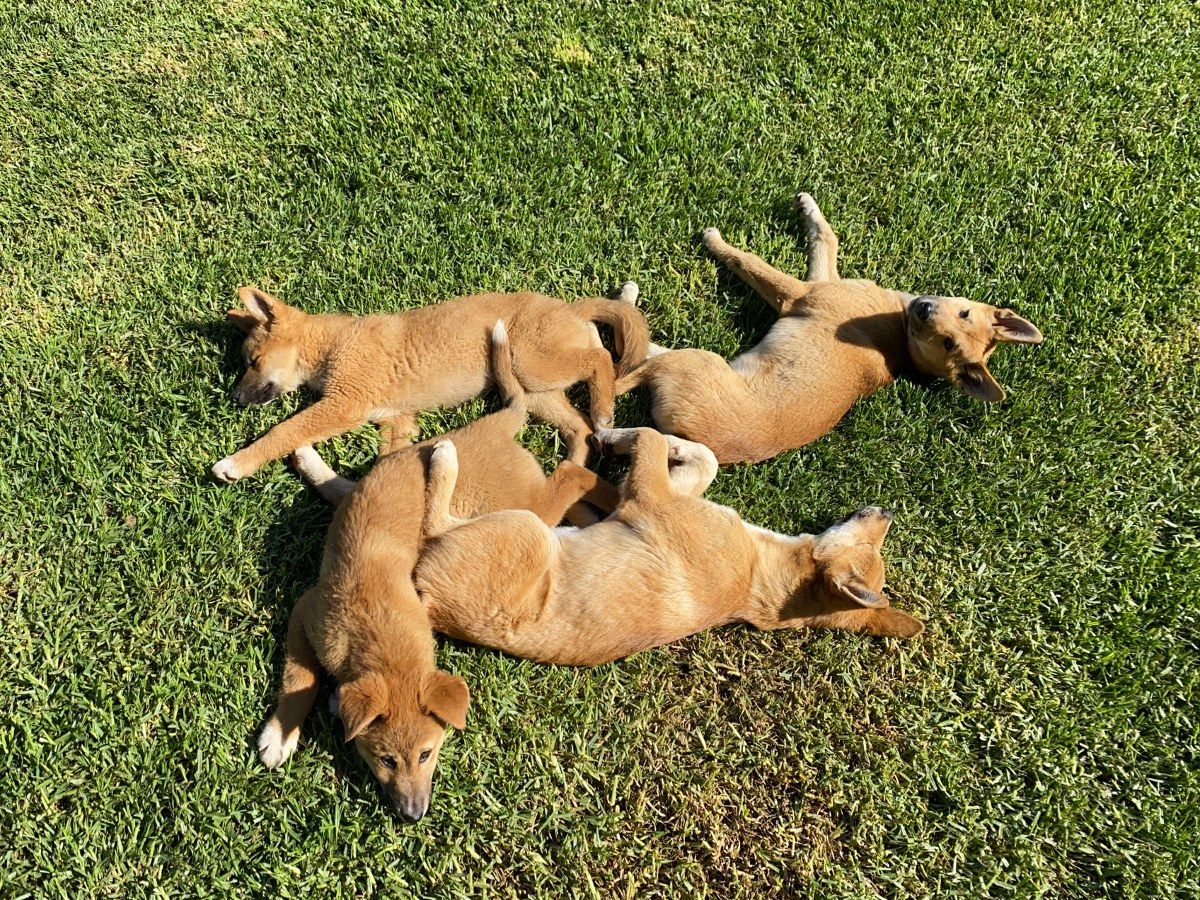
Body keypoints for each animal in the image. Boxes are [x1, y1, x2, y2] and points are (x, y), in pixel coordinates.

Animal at [216, 282, 648, 482]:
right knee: (577, 427)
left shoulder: (344, 405)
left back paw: (604, 410)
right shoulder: (397, 421)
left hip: (532, 364)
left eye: (253, 362)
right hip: (537, 391)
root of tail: (569, 307)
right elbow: (388, 456)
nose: (234, 398)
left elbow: (283, 431)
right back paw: (569, 470)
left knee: (600, 360)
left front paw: (236, 462)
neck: (333, 344)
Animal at [260, 324, 619, 825]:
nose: (413, 815)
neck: (374, 624)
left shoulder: (312, 608)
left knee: (569, 476)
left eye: (427, 754)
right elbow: (299, 678)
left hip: (513, 508)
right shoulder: (305, 609)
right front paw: (282, 730)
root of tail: (495, 425)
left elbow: (305, 678)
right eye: (386, 760)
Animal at [410, 424, 916, 672]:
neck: (763, 574)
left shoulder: (650, 498)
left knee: (433, 523)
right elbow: (705, 459)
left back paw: (443, 457)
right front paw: (668, 445)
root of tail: (429, 605)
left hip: (523, 529)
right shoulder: (669, 493)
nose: (888, 510)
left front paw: (616, 437)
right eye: (874, 543)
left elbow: (651, 443)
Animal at [619, 196, 1041, 465]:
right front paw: (808, 205)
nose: (923, 309)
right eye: (961, 318)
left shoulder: (800, 293)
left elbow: (750, 261)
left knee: (639, 356)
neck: (901, 334)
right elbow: (828, 235)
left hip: (697, 360)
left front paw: (714, 240)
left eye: (948, 339)